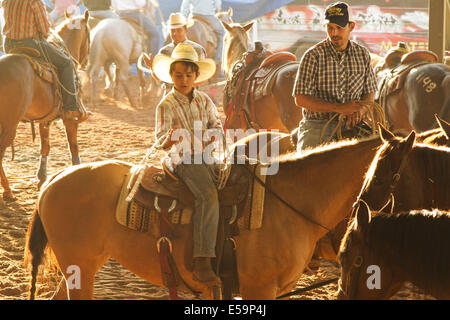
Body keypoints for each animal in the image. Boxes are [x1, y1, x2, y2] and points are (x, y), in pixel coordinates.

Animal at [0, 12, 90, 204]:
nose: (85, 62)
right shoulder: (70, 119)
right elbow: (73, 145)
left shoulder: (45, 120)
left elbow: (45, 146)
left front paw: (42, 177)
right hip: (9, 126)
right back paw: (8, 191)